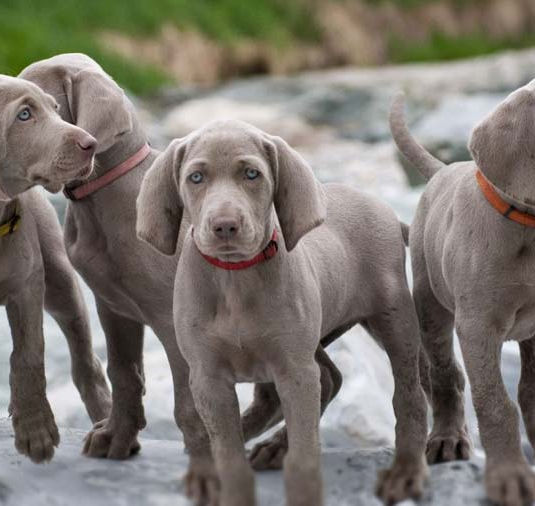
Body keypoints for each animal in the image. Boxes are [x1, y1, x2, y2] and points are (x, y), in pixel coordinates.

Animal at [0, 74, 111, 462]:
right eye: (24, 115)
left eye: (55, 108)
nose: (91, 144)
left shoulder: (27, 284)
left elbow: (28, 354)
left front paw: (35, 428)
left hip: (60, 280)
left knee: (86, 361)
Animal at [19, 53, 352, 504]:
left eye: (41, 107)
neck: (105, 198)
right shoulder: (114, 308)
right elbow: (124, 372)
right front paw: (117, 437)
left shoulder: (174, 324)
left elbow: (187, 406)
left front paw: (205, 475)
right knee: (323, 379)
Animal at [136, 119, 430, 506]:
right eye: (195, 178)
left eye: (251, 174)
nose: (225, 226)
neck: (235, 277)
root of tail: (387, 212)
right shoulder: (208, 377)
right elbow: (228, 455)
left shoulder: (294, 370)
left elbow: (304, 457)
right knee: (330, 378)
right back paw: (269, 444)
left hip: (393, 320)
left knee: (409, 396)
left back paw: (405, 471)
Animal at [390, 87, 535, 506]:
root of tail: (443, 170)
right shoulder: (477, 326)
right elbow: (495, 403)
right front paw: (509, 476)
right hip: (430, 302)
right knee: (445, 374)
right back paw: (448, 438)